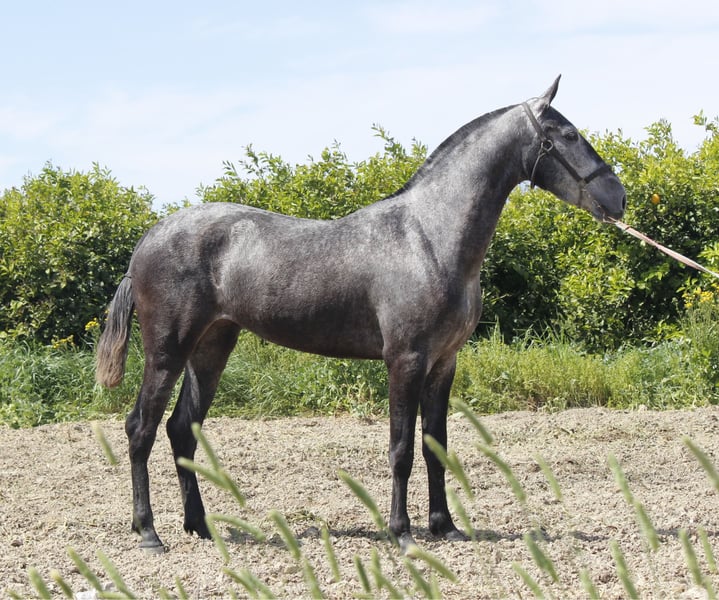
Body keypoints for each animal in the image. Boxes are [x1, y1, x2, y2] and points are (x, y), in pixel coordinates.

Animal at [96, 76, 626, 553]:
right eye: (567, 134)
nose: (618, 198)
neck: (428, 237)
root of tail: (146, 242)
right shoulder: (405, 360)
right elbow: (401, 449)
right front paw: (402, 534)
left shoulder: (443, 364)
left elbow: (435, 445)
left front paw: (445, 527)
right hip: (167, 351)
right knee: (140, 428)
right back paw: (149, 533)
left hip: (211, 347)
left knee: (181, 430)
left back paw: (200, 527)